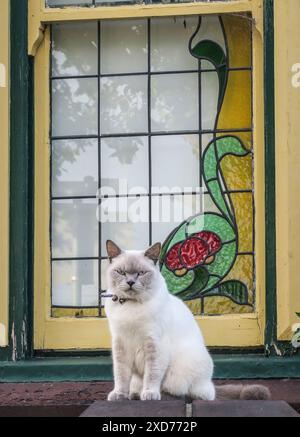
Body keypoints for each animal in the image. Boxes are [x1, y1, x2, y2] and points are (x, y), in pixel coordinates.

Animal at [104, 240, 270, 400]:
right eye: (121, 272)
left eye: (141, 273)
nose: (130, 282)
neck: (131, 307)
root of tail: (211, 385)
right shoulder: (120, 345)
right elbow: (120, 375)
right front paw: (119, 395)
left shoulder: (154, 344)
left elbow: (152, 374)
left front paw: (150, 394)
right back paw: (134, 394)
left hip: (178, 375)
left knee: (187, 393)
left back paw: (153, 394)